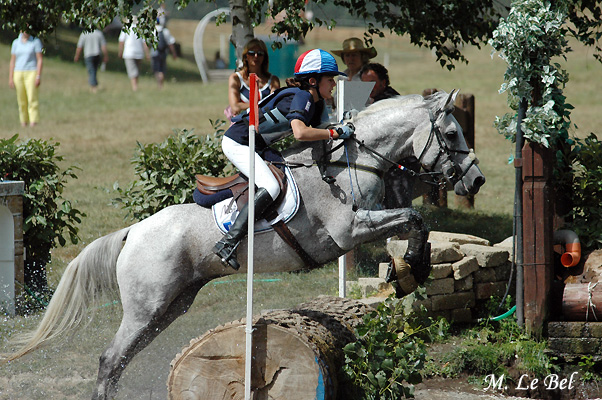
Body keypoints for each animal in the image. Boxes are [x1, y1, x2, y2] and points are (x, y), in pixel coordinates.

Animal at [2, 89, 482, 398]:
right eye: (452, 135)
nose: (475, 180)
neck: (355, 159)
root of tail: (132, 232)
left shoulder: (370, 222)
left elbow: (414, 224)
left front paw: (412, 269)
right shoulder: (351, 230)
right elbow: (414, 218)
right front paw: (411, 271)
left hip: (169, 306)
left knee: (121, 360)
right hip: (146, 306)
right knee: (109, 360)